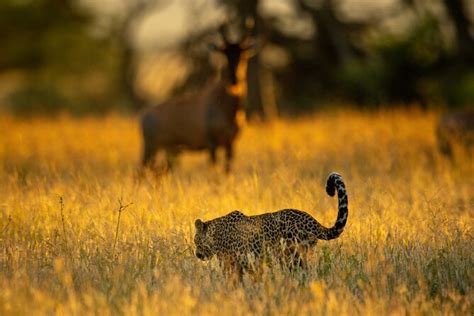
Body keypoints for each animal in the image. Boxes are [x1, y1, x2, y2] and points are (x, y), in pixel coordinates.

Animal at [140, 22, 256, 173]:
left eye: (243, 54)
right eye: (224, 53)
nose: (234, 80)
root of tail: (144, 114)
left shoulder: (230, 144)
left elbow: (227, 170)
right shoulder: (212, 144)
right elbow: (213, 167)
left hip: (169, 151)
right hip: (151, 148)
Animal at [193, 172, 348, 278]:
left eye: (195, 240)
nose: (197, 255)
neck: (215, 234)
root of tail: (312, 221)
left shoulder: (231, 264)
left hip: (290, 256)